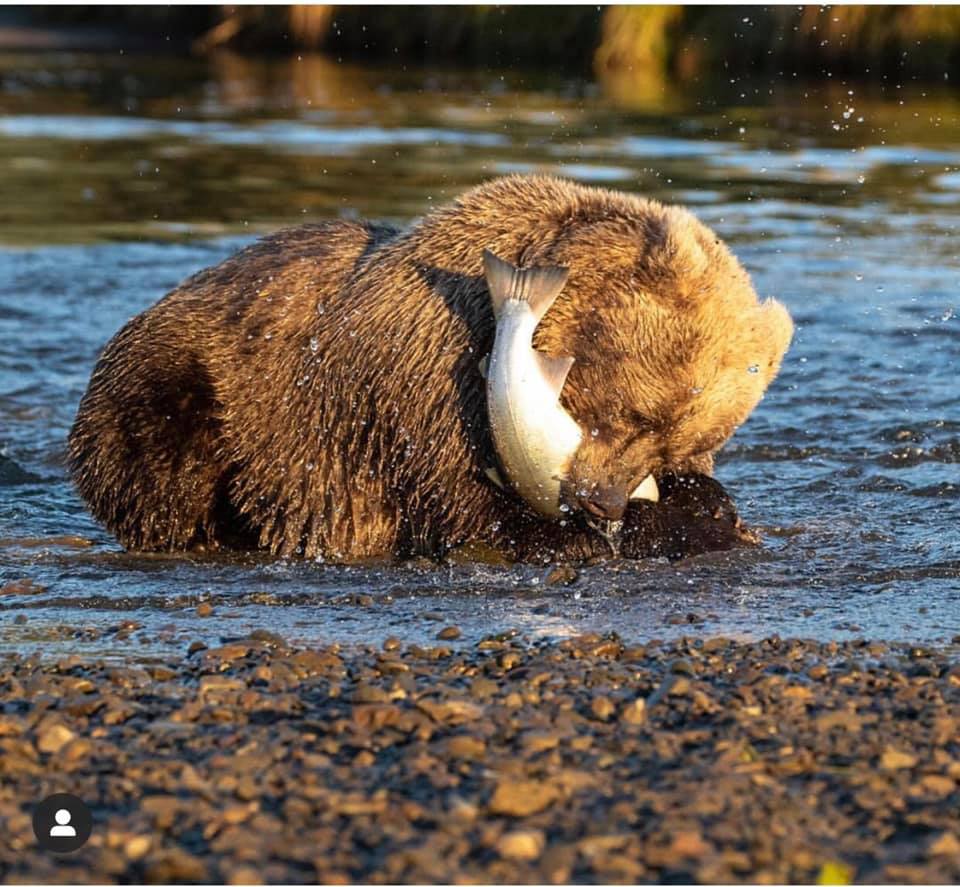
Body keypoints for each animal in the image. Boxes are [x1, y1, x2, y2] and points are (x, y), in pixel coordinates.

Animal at [65, 175, 788, 560]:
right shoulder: (427, 383)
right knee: (164, 456)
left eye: (677, 439)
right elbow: (472, 509)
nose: (598, 501)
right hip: (191, 383)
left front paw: (713, 509)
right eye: (632, 412)